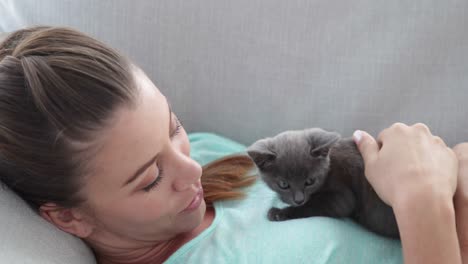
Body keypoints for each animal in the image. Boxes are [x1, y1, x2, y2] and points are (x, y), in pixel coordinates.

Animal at [249, 128, 398, 239]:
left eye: (310, 181)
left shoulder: (342, 196)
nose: (299, 200)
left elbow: (312, 205)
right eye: (283, 184)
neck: (329, 167)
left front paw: (279, 213)